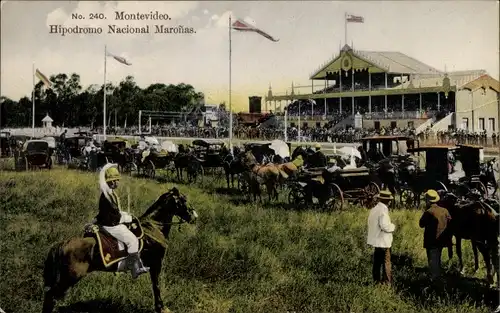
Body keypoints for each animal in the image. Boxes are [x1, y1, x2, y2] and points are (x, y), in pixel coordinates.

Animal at [41, 186, 197, 310]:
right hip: (69, 278)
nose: (194, 216)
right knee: (50, 297)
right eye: (183, 200)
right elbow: (156, 286)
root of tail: (61, 244)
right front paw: (161, 308)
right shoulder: (156, 264)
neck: (154, 227)